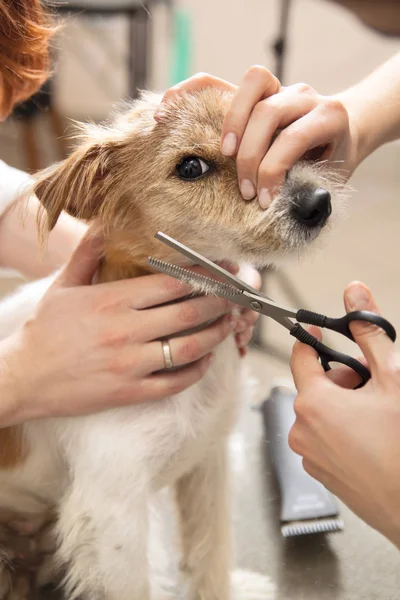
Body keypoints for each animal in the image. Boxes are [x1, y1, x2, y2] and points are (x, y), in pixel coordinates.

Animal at [0, 85, 346, 600]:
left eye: (273, 134)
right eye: (190, 167)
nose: (317, 203)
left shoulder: (209, 464)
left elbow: (211, 550)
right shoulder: (114, 515)